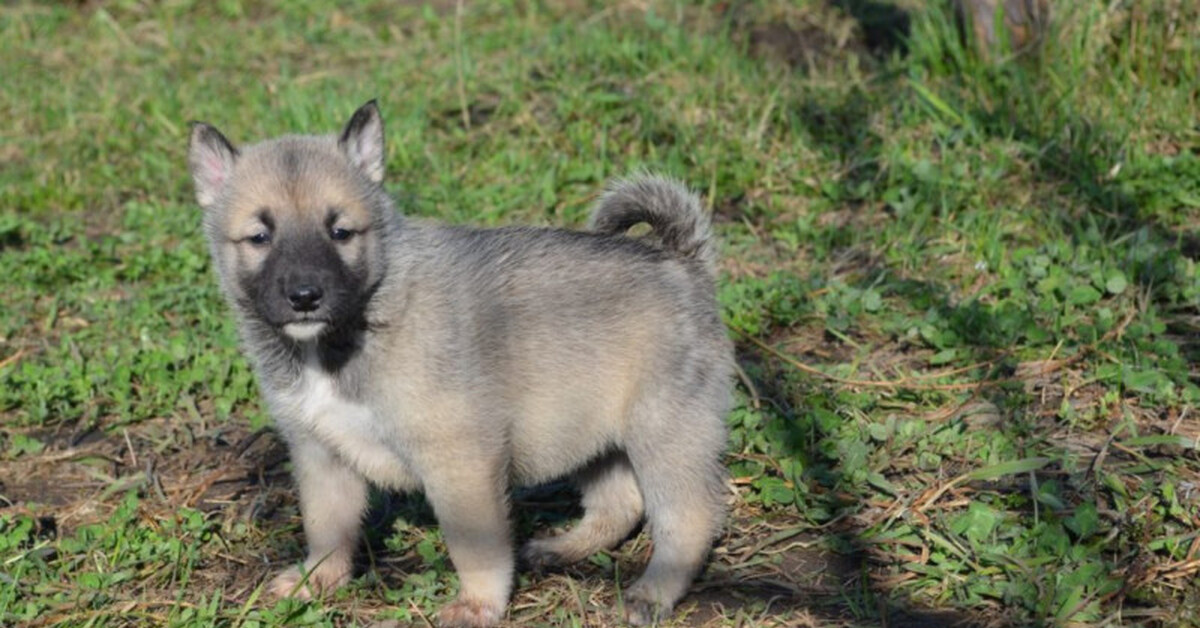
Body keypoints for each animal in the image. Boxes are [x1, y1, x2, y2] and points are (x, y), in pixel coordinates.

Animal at [187, 100, 729, 624]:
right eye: (259, 237)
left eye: (340, 231)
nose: (305, 297)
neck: (354, 328)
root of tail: (683, 262)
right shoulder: (321, 454)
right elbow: (326, 528)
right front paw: (316, 579)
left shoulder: (460, 459)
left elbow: (475, 548)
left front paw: (478, 604)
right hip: (591, 430)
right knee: (619, 503)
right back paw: (562, 549)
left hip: (664, 432)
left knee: (688, 518)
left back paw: (653, 592)